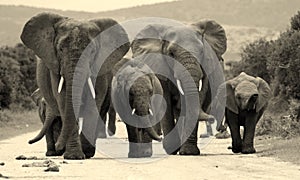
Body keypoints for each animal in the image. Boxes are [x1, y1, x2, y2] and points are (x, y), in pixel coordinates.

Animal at [20, 12, 129, 159]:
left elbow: (93, 101)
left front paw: (86, 153)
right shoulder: (55, 67)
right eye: (60, 49)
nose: (58, 146)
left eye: (92, 51)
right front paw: (73, 156)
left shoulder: (100, 68)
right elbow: (64, 99)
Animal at [130, 19, 226, 155]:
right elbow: (165, 102)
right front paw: (171, 149)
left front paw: (189, 152)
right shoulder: (159, 66)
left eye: (202, 52)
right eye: (171, 54)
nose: (212, 119)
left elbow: (195, 99)